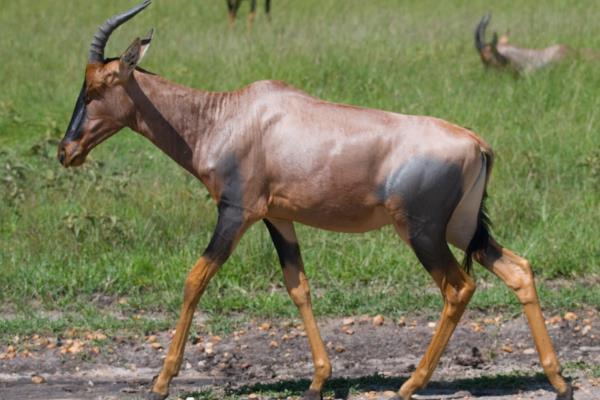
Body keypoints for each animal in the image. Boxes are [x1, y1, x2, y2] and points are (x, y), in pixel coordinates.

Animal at [59, 1, 572, 398]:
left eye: (97, 86)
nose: (66, 151)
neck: (229, 117)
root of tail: (476, 143)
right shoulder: (278, 218)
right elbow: (298, 287)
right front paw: (318, 381)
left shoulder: (236, 212)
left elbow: (195, 279)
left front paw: (161, 382)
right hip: (462, 228)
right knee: (518, 269)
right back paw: (559, 380)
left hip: (422, 231)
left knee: (458, 288)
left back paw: (410, 385)